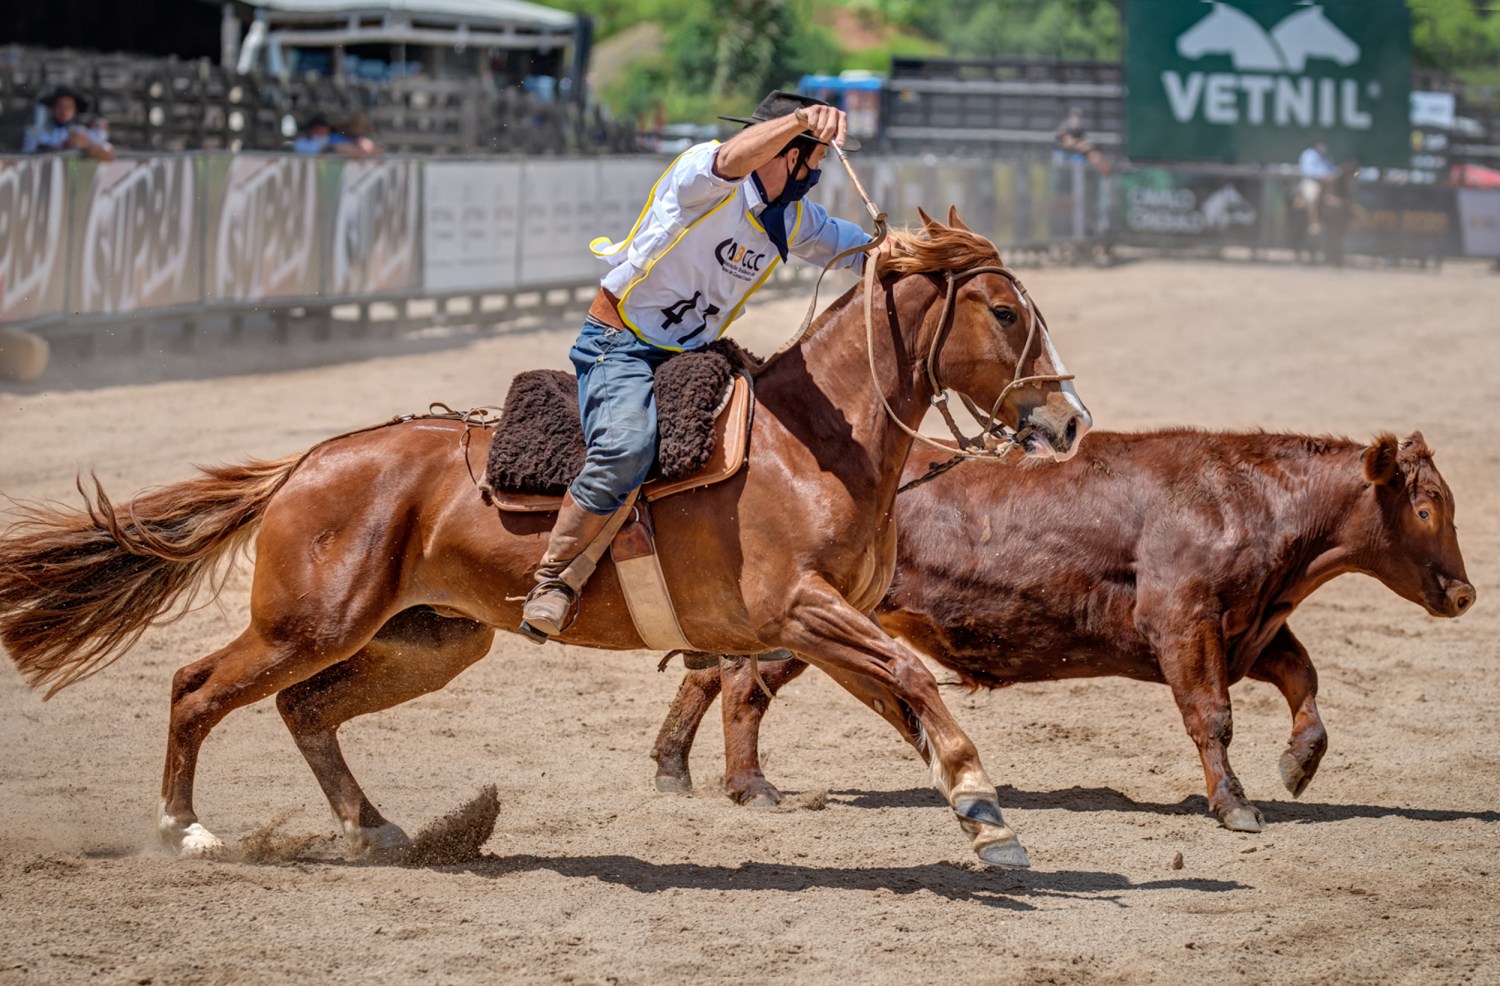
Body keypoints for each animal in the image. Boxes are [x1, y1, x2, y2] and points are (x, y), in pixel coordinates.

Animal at [0, 210, 1092, 870]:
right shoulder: (799, 608)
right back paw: (184, 828)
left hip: (426, 639)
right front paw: (985, 808)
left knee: (304, 709)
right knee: (197, 687)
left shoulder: (819, 626)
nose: (1070, 420)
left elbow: (898, 697)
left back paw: (375, 826)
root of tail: (308, 462)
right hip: (305, 623)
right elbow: (906, 678)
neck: (810, 442)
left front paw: (973, 811)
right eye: (1004, 310)